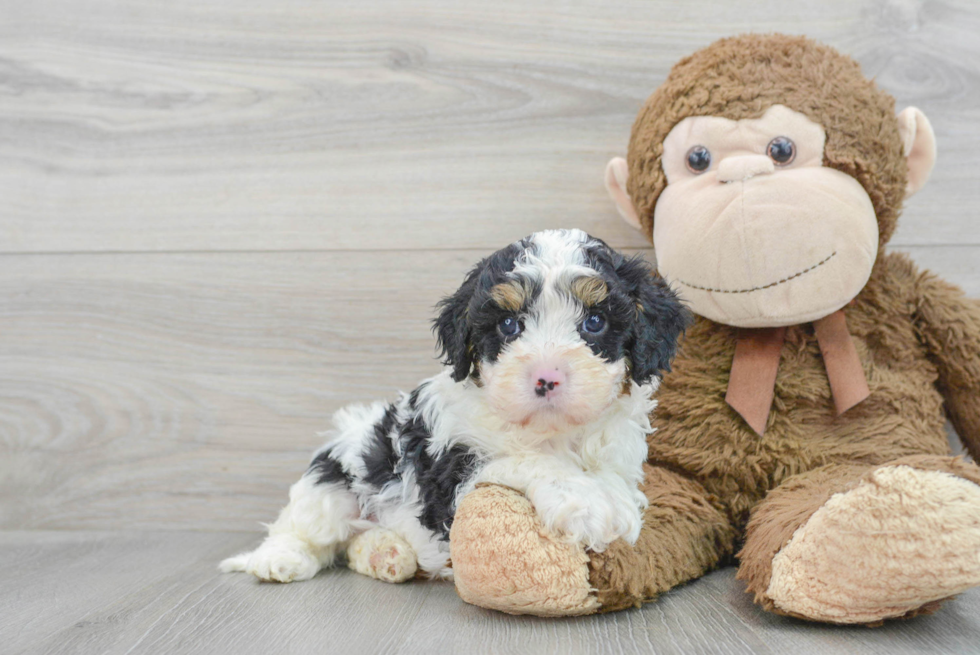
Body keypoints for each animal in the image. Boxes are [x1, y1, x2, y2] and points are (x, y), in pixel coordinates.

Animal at [219, 229, 684, 584]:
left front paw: (615, 505)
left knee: (352, 543)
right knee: (305, 528)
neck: (552, 432)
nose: (546, 377)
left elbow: (612, 480)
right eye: (509, 325)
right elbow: (530, 461)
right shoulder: (454, 474)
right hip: (333, 484)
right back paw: (278, 560)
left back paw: (385, 553)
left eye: (595, 322)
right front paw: (585, 504)